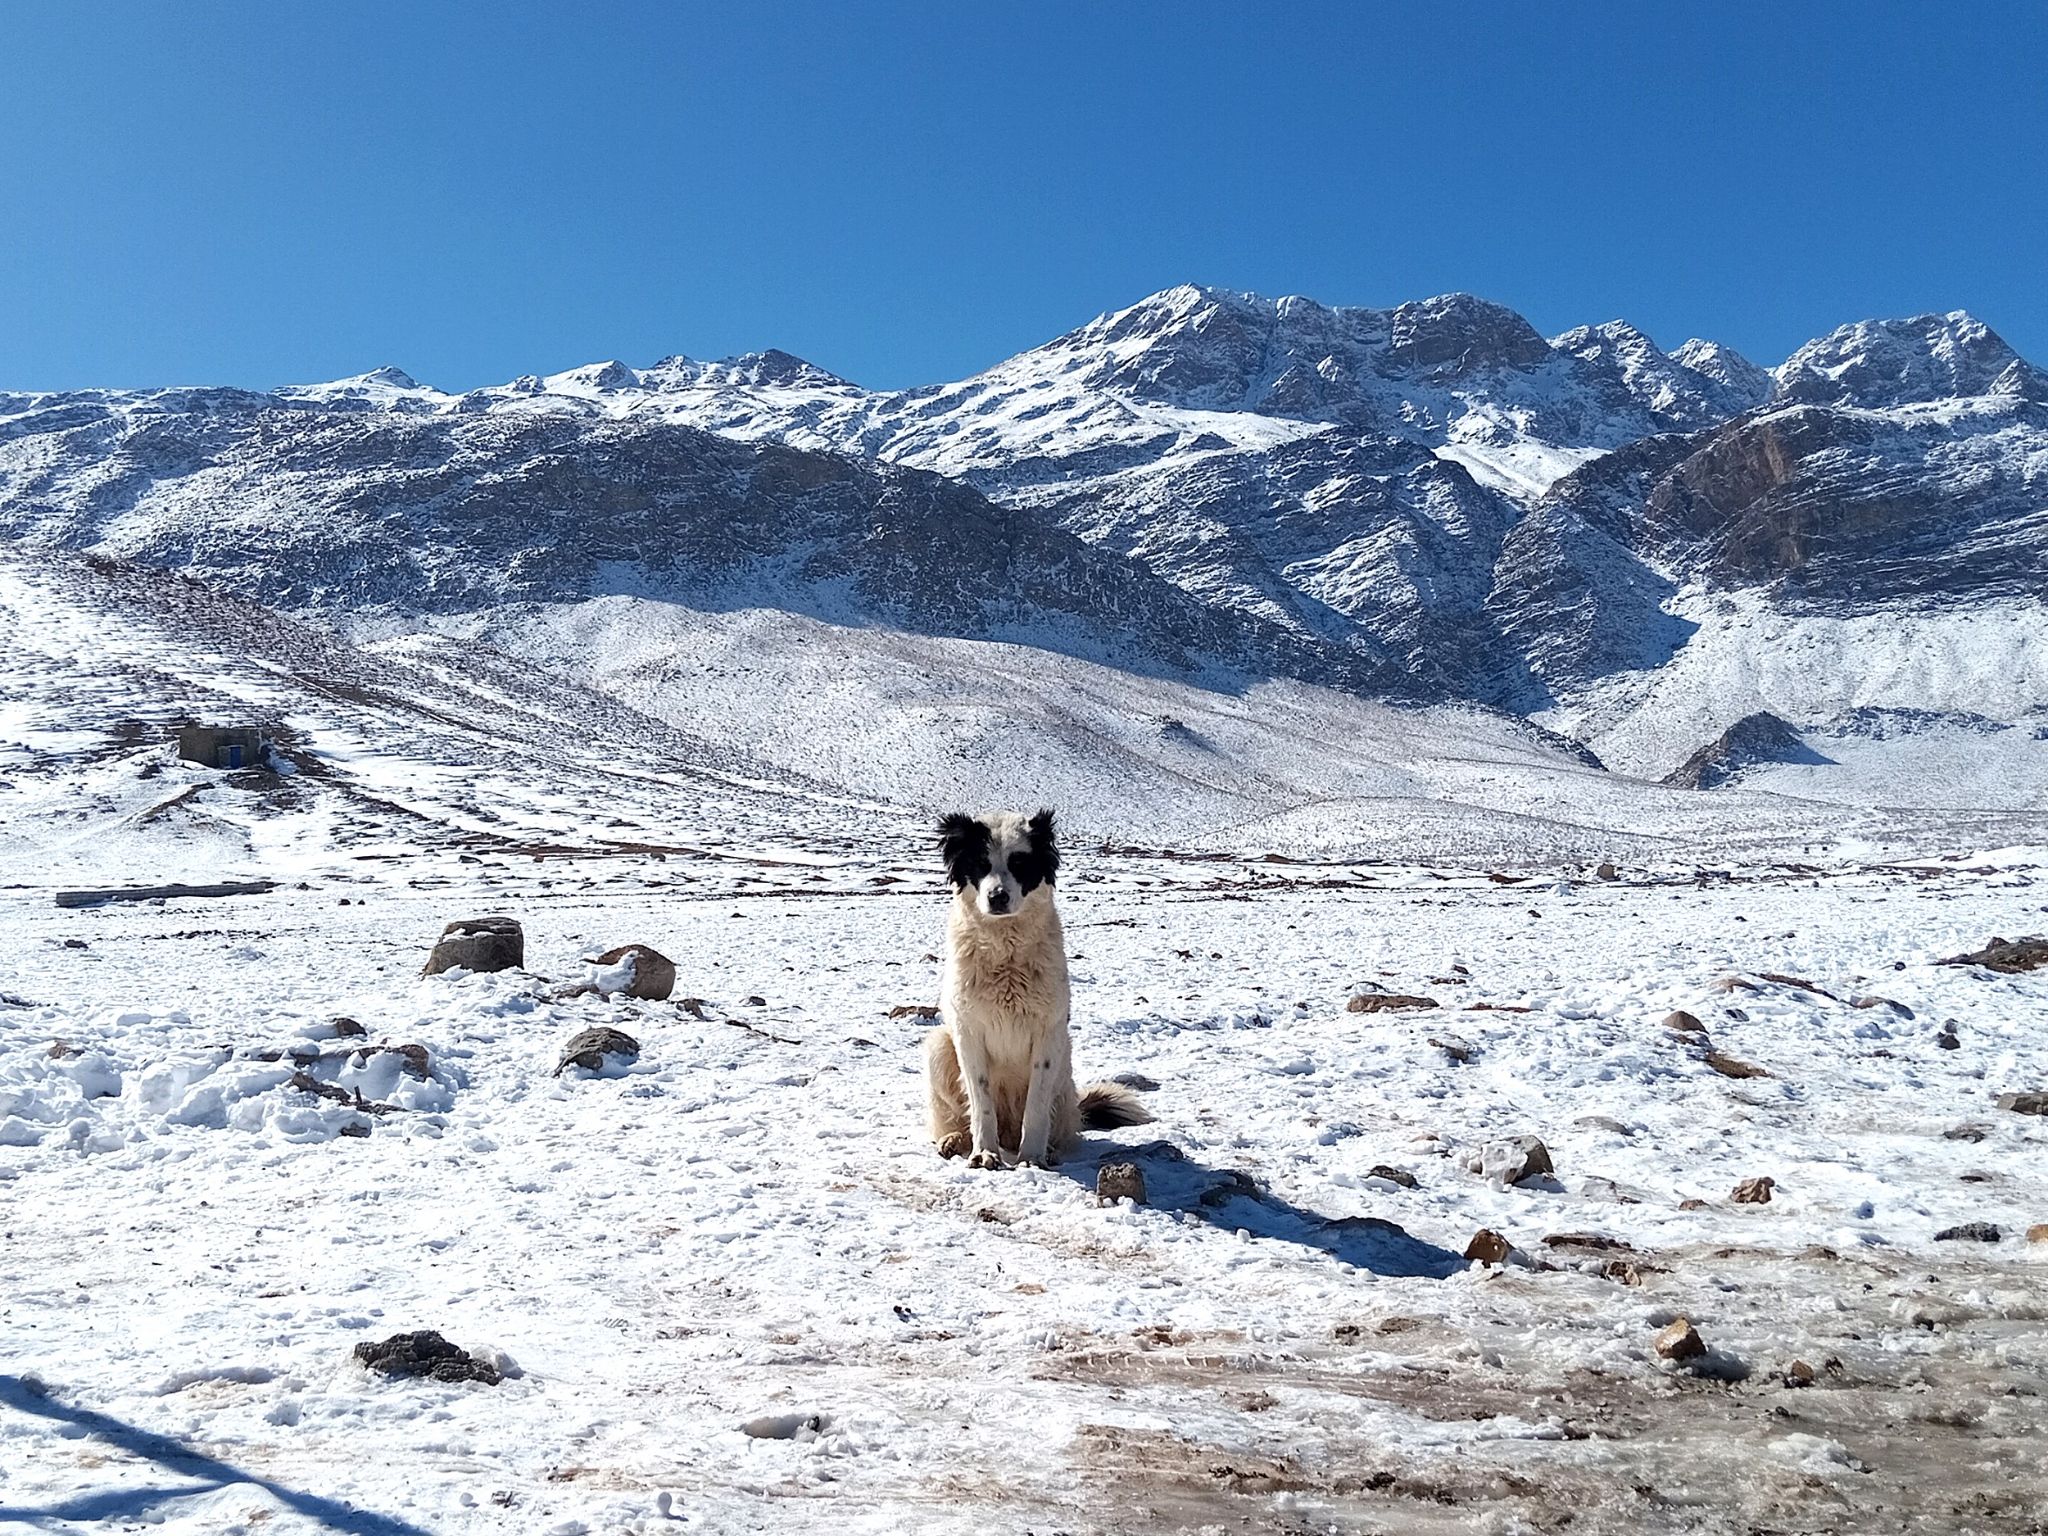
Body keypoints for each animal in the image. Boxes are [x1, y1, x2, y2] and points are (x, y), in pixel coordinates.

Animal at [929, 811, 1155, 1171]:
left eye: (1020, 863)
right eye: (980, 863)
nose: (997, 897)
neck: (1006, 954)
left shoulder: (1048, 1034)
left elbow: (1036, 1106)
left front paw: (1032, 1157)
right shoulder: (968, 1034)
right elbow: (980, 1103)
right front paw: (984, 1153)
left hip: (1064, 1062)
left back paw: (1048, 1149)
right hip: (938, 1045)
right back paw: (954, 1140)